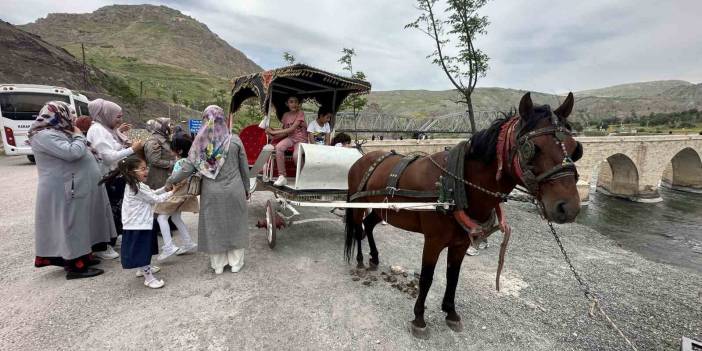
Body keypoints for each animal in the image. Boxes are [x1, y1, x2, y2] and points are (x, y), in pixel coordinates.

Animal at [346, 92, 584, 340]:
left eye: (575, 149)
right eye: (532, 148)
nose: (569, 207)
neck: (456, 182)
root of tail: (361, 159)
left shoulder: (460, 243)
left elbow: (453, 275)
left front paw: (450, 312)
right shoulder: (433, 241)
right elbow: (427, 277)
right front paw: (419, 318)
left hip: (382, 209)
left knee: (368, 225)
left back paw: (374, 258)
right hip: (358, 205)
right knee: (357, 227)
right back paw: (361, 260)